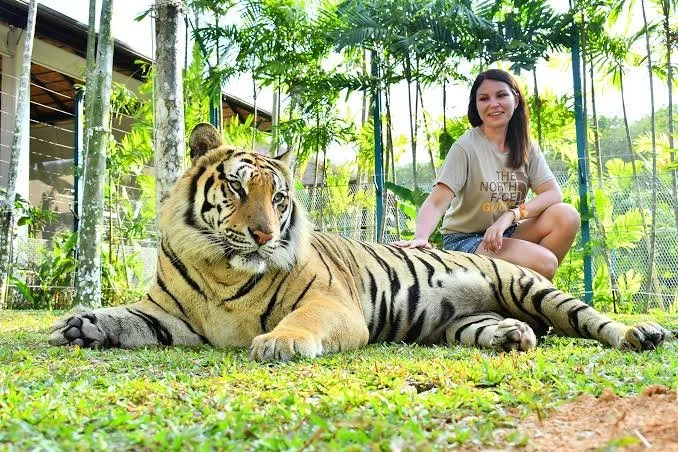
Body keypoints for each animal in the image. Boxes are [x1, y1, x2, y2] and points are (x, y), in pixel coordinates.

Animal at [48, 123, 671, 361]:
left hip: (529, 284)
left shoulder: (331, 304)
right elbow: (127, 319)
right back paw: (512, 336)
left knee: (595, 321)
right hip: (459, 322)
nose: (264, 234)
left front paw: (278, 343)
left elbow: (300, 322)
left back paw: (642, 332)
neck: (221, 270)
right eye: (238, 187)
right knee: (502, 328)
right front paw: (80, 325)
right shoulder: (172, 316)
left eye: (279, 199)